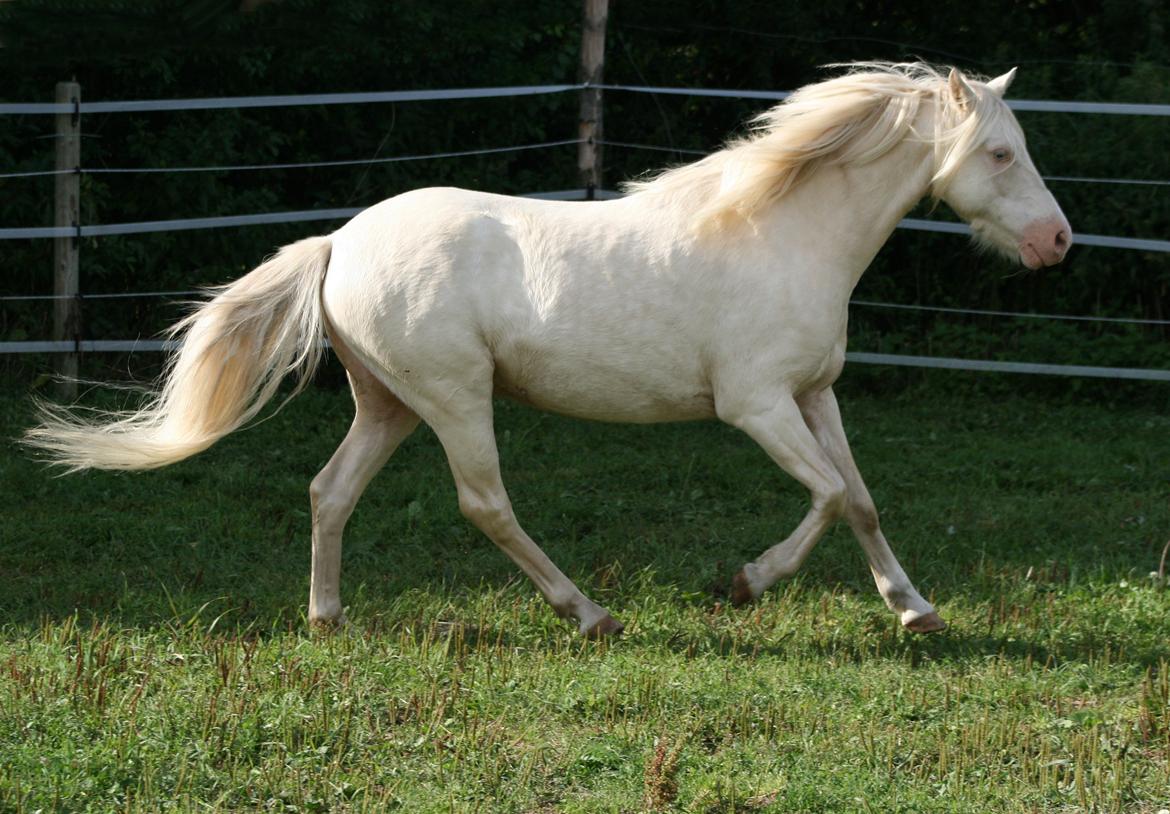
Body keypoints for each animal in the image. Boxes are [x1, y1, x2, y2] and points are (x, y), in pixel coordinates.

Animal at [25, 62, 1071, 638]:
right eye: (1001, 153)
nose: (1057, 242)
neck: (783, 234)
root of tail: (341, 243)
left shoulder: (818, 395)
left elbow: (858, 498)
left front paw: (916, 609)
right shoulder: (757, 405)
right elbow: (822, 497)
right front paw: (745, 582)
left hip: (390, 403)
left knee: (330, 491)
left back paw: (328, 619)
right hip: (454, 398)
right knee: (484, 503)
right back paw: (592, 614)